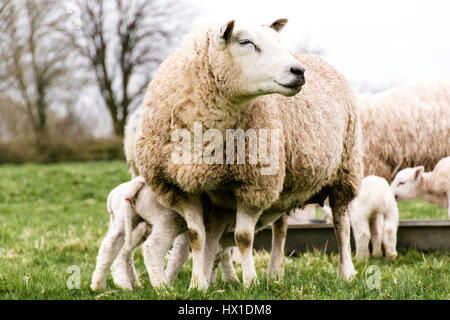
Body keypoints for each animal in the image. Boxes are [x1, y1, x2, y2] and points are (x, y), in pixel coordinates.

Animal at [133, 18, 362, 288]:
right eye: (246, 42)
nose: (299, 71)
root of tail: (318, 60)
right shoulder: (181, 187)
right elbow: (196, 236)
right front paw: (197, 284)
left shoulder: (254, 184)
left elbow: (243, 237)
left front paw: (250, 282)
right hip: (267, 186)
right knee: (278, 227)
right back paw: (273, 272)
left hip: (344, 171)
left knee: (341, 224)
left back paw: (345, 272)